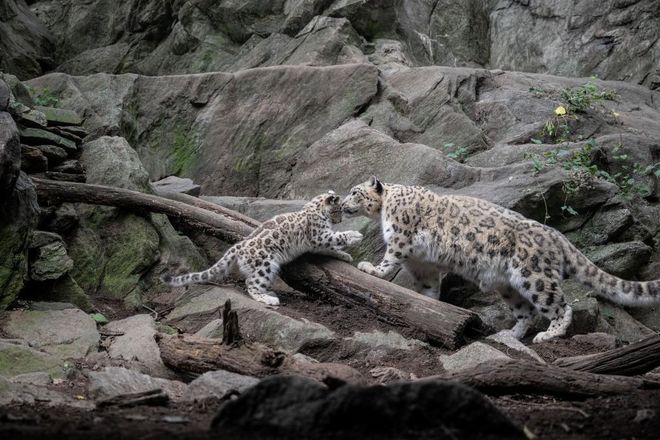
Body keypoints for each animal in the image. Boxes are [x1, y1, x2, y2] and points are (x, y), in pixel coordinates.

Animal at [161, 191, 363, 306]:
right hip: (265, 264)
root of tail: (239, 246)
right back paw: (269, 299)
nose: (340, 220)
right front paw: (355, 235)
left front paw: (345, 255)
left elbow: (331, 247)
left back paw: (270, 292)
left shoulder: (318, 241)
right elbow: (335, 237)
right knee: (251, 283)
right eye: (339, 209)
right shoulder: (319, 235)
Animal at [341, 176, 660, 343]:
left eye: (355, 192)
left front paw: (371, 269)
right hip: (509, 285)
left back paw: (548, 335)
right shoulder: (423, 264)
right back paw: (509, 334)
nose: (342, 204)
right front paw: (429, 306)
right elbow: (429, 287)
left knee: (560, 306)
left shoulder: (401, 239)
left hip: (534, 276)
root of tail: (557, 235)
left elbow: (388, 261)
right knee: (525, 311)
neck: (385, 210)